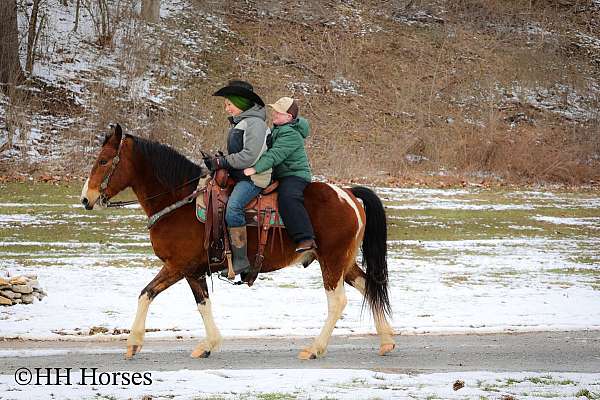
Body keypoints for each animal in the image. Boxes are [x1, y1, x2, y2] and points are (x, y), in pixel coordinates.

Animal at [81, 124, 398, 360]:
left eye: (103, 161)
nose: (86, 198)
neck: (180, 202)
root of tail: (349, 194)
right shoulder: (193, 270)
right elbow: (203, 303)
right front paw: (209, 344)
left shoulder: (178, 265)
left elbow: (146, 293)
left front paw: (133, 343)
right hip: (342, 261)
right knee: (368, 285)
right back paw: (386, 340)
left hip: (332, 261)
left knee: (337, 301)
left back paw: (315, 348)